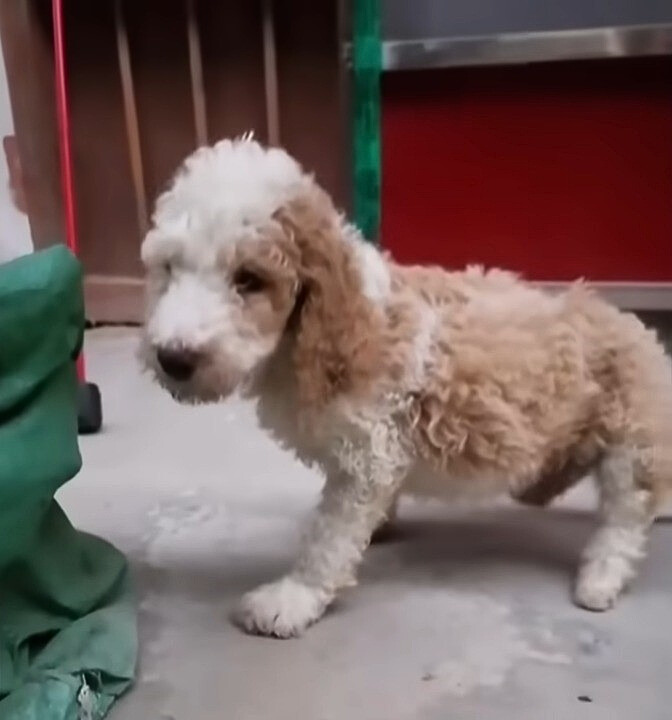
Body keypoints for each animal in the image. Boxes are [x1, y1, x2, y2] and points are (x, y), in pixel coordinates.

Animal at [140, 138, 672, 640]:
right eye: (169, 268)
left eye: (249, 279)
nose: (173, 358)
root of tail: (640, 331)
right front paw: (377, 528)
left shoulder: (368, 455)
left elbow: (327, 539)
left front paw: (293, 597)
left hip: (631, 447)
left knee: (624, 522)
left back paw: (599, 579)